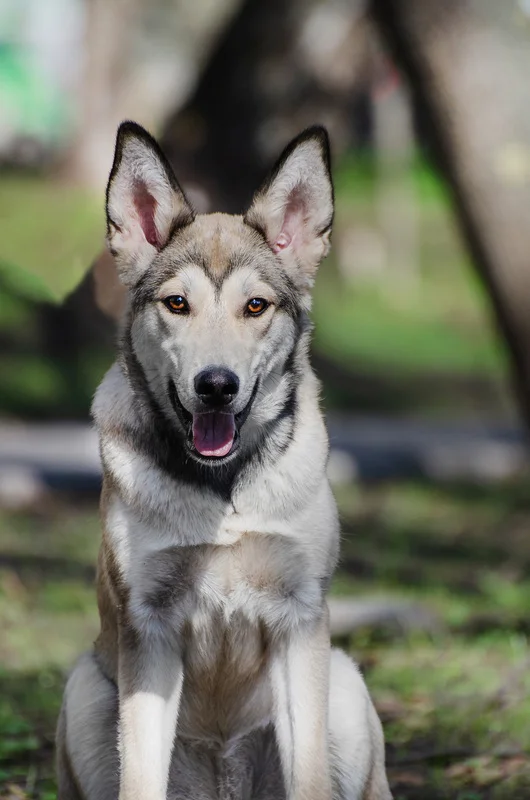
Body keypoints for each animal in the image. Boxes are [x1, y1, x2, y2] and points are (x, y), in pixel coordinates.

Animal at [55, 120, 390, 800]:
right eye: (176, 304)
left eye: (255, 306)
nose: (216, 386)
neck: (225, 491)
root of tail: (222, 779)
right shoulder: (149, 628)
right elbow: (140, 779)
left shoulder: (299, 620)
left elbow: (310, 778)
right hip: (84, 690)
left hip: (343, 679)